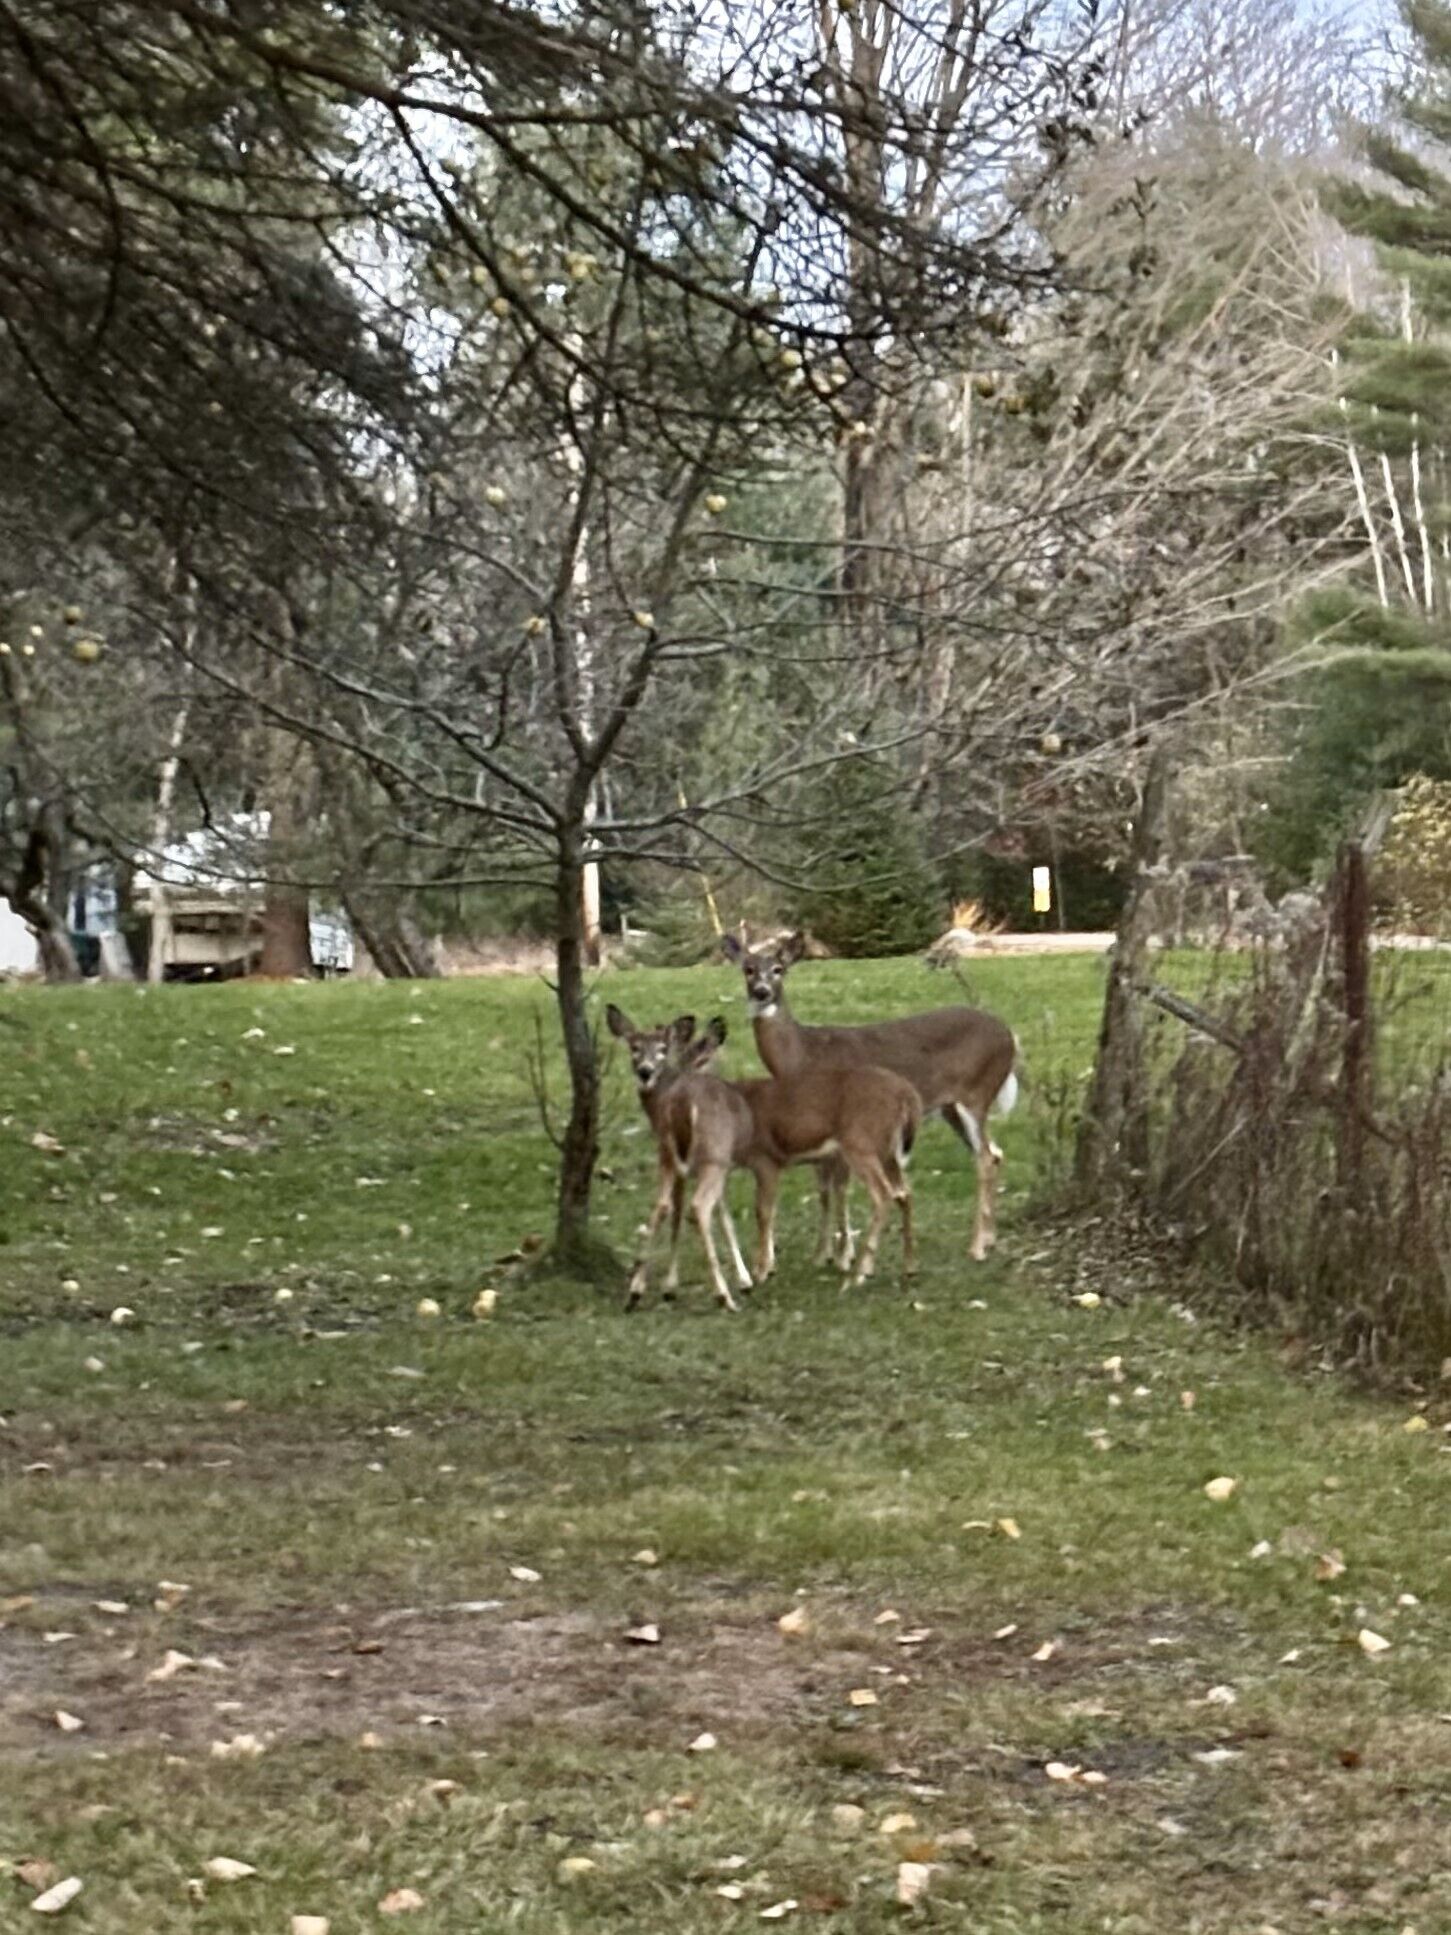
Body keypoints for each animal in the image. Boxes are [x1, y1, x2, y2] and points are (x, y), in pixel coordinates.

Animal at [607, 1004, 920, 1310]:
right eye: (634, 1048)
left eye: (664, 1051)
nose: (646, 1073)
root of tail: (907, 1094)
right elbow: (728, 1216)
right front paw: (755, 1272)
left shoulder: (763, 1159)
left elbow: (760, 1211)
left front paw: (759, 1271)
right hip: (884, 1150)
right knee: (903, 1192)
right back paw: (904, 1269)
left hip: (860, 1144)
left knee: (883, 1194)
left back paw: (853, 1276)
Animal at [721, 931, 1018, 1262]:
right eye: (747, 969)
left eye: (778, 969)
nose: (761, 992)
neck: (803, 1054)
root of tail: (1009, 1036)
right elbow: (823, 1189)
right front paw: (822, 1254)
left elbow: (840, 1188)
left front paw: (844, 1254)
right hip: (951, 1106)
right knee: (994, 1152)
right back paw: (989, 1238)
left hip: (975, 1093)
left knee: (985, 1157)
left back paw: (977, 1246)